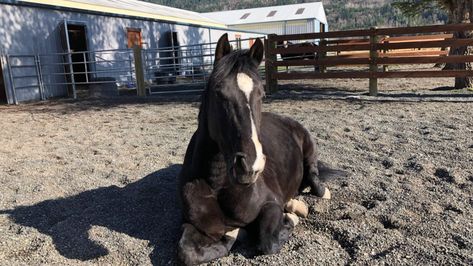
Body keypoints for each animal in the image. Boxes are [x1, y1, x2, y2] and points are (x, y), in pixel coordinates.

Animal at [176, 34, 342, 264]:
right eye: (219, 93)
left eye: (262, 94)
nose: (249, 167)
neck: (217, 184)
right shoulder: (193, 224)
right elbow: (187, 251)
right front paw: (233, 234)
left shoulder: (270, 205)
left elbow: (267, 240)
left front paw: (290, 218)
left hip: (310, 149)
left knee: (315, 181)